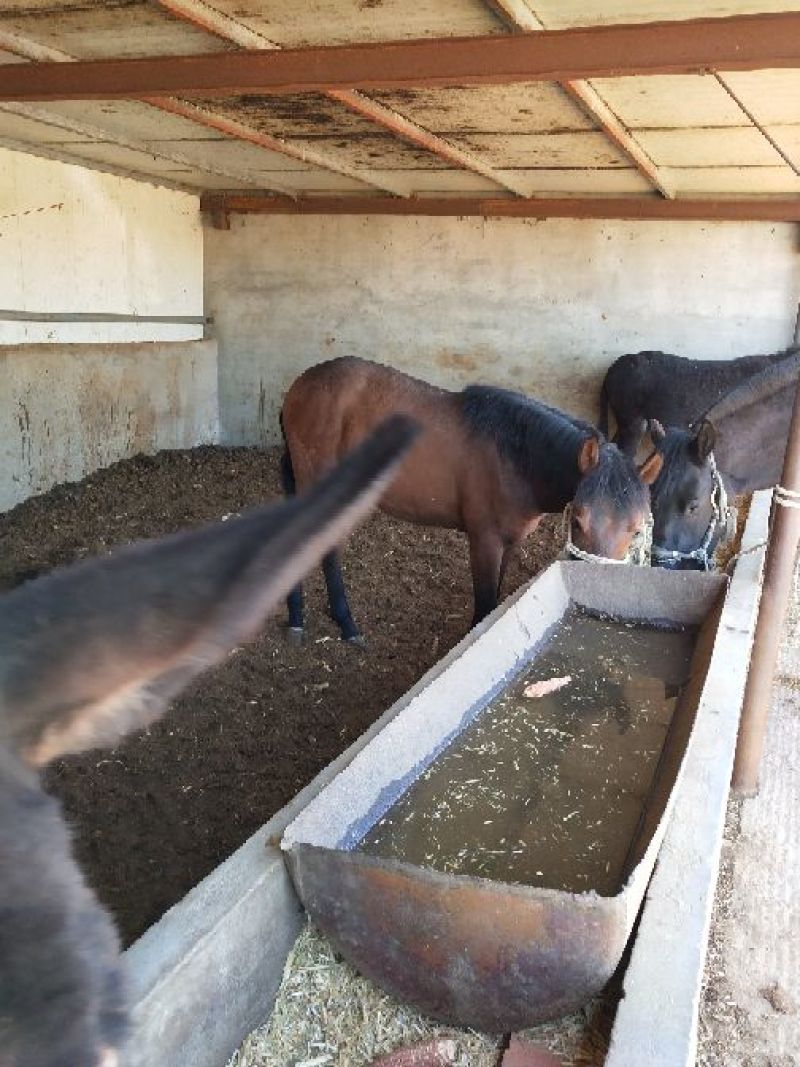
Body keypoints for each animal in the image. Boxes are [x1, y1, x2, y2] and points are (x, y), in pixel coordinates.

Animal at [280, 357, 663, 643]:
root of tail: (300, 386)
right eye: (579, 517)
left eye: (636, 528)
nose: (597, 579)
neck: (516, 457)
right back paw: (343, 623)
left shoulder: (510, 541)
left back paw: (300, 617)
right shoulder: (484, 541)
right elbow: (484, 605)